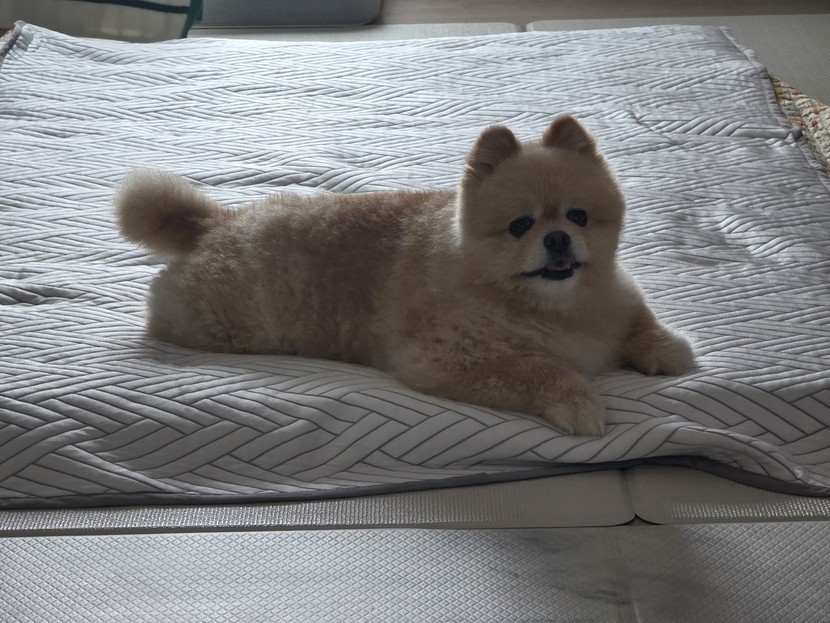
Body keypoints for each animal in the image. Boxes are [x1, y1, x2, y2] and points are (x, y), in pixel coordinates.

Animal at [116, 115, 695, 435]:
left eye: (577, 216)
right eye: (521, 225)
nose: (555, 239)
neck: (555, 305)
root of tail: (215, 222)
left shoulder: (618, 298)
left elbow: (640, 321)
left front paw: (667, 349)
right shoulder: (444, 360)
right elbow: (544, 370)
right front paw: (580, 403)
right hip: (229, 326)